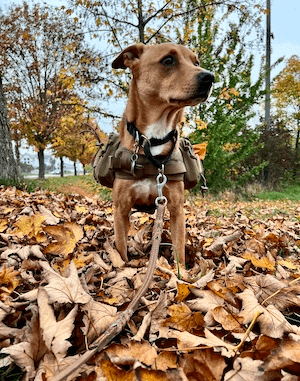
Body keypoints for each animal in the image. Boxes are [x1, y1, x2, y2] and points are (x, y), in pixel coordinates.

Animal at [112, 42, 213, 264]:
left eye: (196, 62)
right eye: (168, 60)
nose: (209, 77)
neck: (154, 138)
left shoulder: (175, 209)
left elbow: (180, 252)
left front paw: (180, 271)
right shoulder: (121, 209)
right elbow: (121, 250)